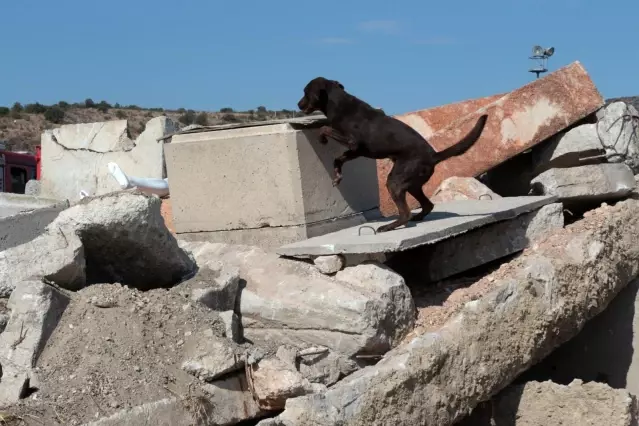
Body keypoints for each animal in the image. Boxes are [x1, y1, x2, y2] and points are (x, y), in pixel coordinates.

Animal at [298, 78, 488, 235]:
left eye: (305, 92)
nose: (298, 104)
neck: (338, 101)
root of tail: (434, 155)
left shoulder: (353, 143)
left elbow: (325, 129)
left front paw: (322, 138)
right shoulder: (357, 151)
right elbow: (338, 159)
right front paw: (337, 176)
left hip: (395, 182)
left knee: (405, 213)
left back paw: (388, 226)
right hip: (411, 184)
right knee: (427, 205)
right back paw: (417, 218)